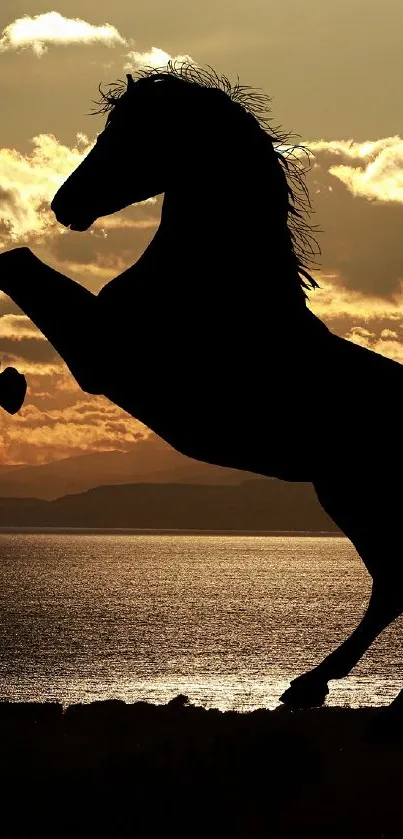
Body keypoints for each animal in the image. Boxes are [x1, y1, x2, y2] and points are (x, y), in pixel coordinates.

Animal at [1, 63, 402, 721]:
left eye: (127, 135)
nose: (64, 206)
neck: (212, 284)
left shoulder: (101, 355)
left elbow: (13, 260)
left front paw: (10, 385)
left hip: (355, 495)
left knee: (396, 582)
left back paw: (319, 687)